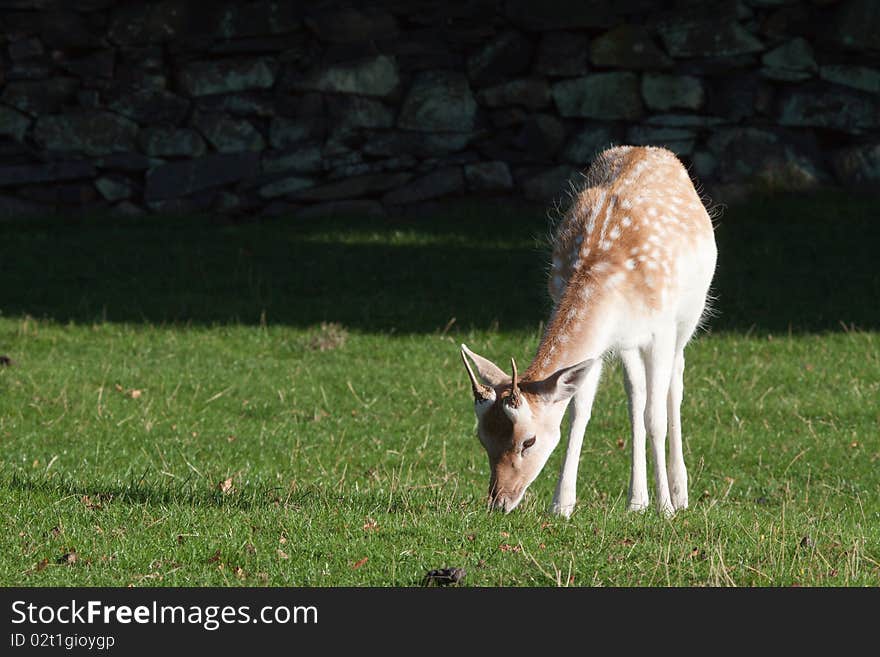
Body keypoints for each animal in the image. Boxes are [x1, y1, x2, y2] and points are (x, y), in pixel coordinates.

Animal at [460, 145, 716, 516]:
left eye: (528, 441)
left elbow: (655, 416)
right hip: (627, 342)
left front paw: (666, 507)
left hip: (690, 314)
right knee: (635, 392)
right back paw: (637, 500)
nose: (499, 501)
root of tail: (652, 149)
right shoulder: (600, 345)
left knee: (675, 382)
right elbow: (579, 412)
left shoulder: (662, 329)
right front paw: (561, 504)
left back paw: (679, 493)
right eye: (482, 437)